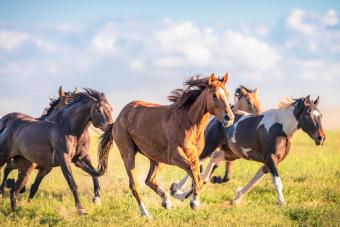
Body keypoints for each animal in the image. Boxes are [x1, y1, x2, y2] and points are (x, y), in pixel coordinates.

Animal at [95, 73, 234, 218]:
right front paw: (193, 201)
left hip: (156, 159)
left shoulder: (194, 155)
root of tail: (118, 119)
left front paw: (182, 195)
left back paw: (166, 201)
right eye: (214, 95)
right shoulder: (175, 156)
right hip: (128, 154)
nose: (229, 118)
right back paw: (146, 214)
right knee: (135, 185)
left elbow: (199, 177)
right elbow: (194, 173)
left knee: (149, 180)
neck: (188, 123)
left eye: (227, 94)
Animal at [179, 96, 326, 206]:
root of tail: (214, 118)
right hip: (211, 145)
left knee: (212, 160)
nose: (321, 138)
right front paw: (282, 202)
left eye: (320, 115)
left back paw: (196, 185)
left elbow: (254, 180)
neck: (281, 129)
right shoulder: (270, 159)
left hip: (231, 153)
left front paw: (236, 198)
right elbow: (277, 182)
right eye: (309, 115)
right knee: (196, 162)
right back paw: (178, 190)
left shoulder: (270, 162)